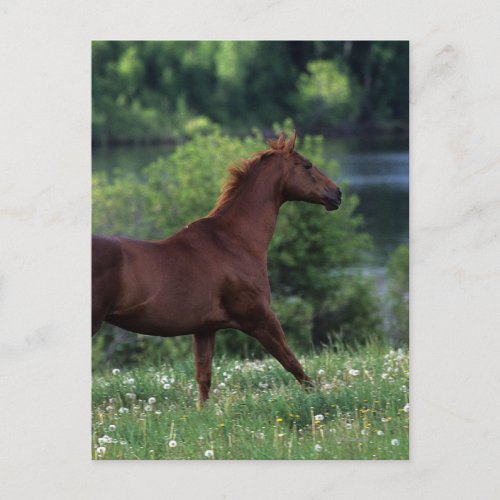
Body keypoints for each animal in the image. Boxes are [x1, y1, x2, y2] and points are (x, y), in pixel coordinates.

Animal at [92, 131, 342, 404]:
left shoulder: (205, 329)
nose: (337, 194)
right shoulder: (260, 318)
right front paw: (319, 400)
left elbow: (204, 379)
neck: (233, 241)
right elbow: (293, 364)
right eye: (307, 165)